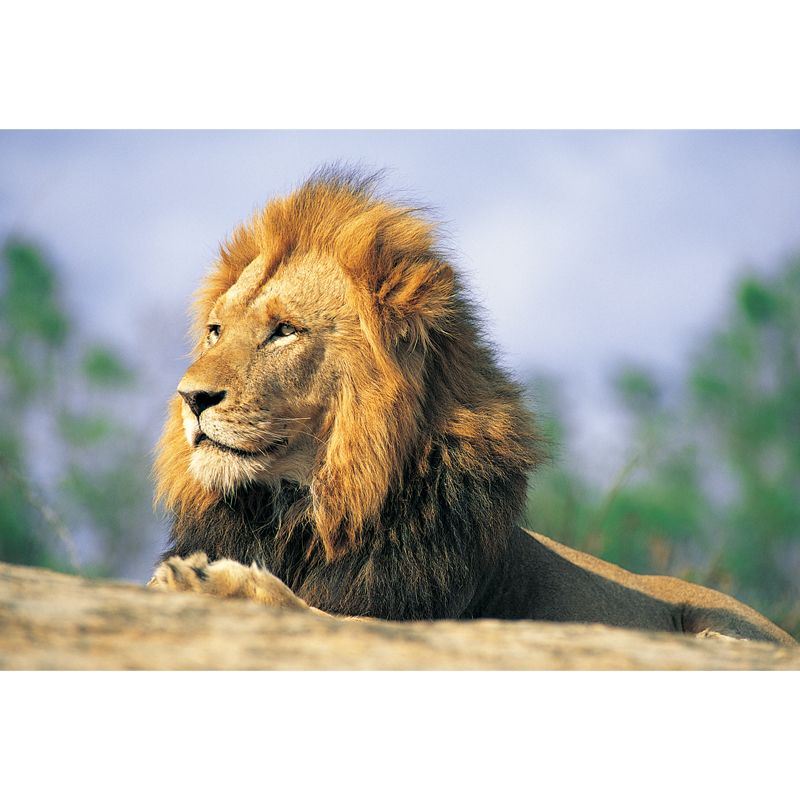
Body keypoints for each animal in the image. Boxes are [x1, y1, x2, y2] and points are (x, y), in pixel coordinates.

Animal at [149, 169, 796, 647]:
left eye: (285, 330)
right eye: (215, 331)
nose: (191, 398)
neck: (303, 510)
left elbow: (327, 614)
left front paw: (212, 581)